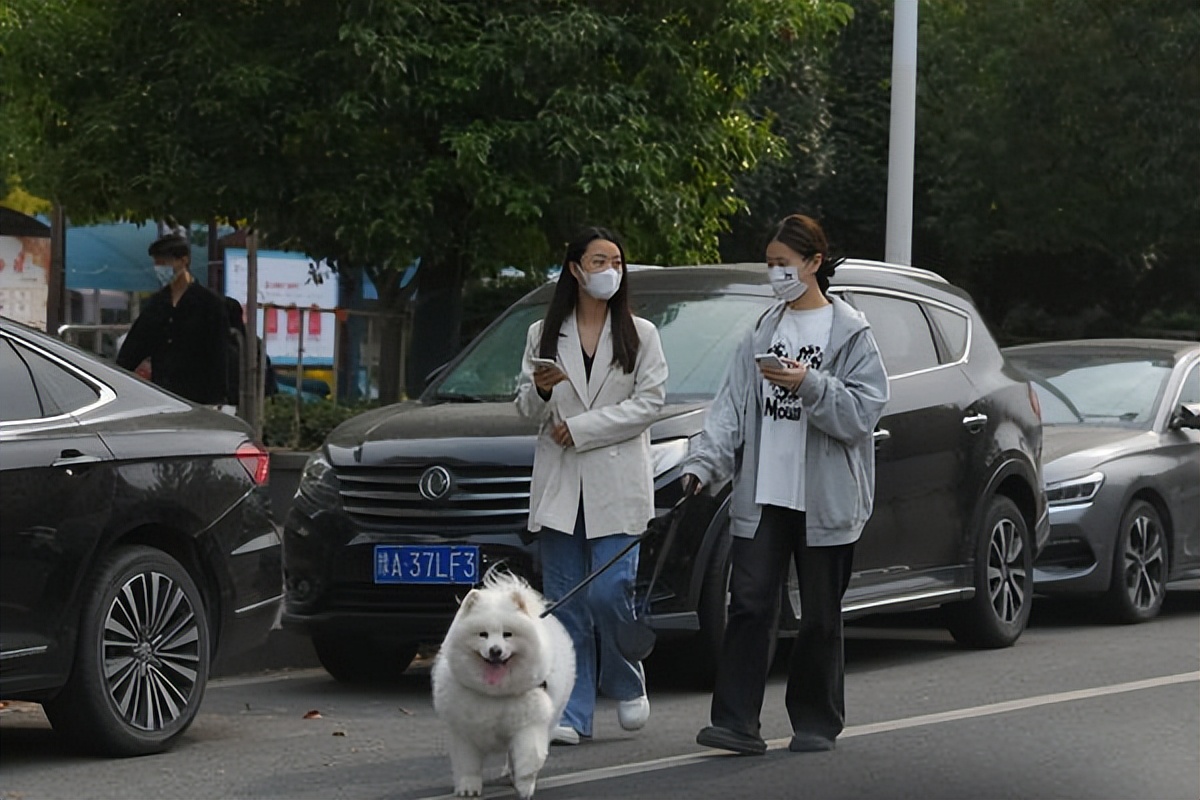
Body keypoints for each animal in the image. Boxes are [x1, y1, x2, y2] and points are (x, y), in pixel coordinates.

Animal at [434, 568, 578, 800]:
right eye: (483, 634)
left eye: (507, 634)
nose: (495, 651)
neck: (495, 694)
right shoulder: (464, 729)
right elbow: (467, 764)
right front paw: (468, 788)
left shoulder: (529, 723)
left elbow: (529, 757)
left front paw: (525, 786)